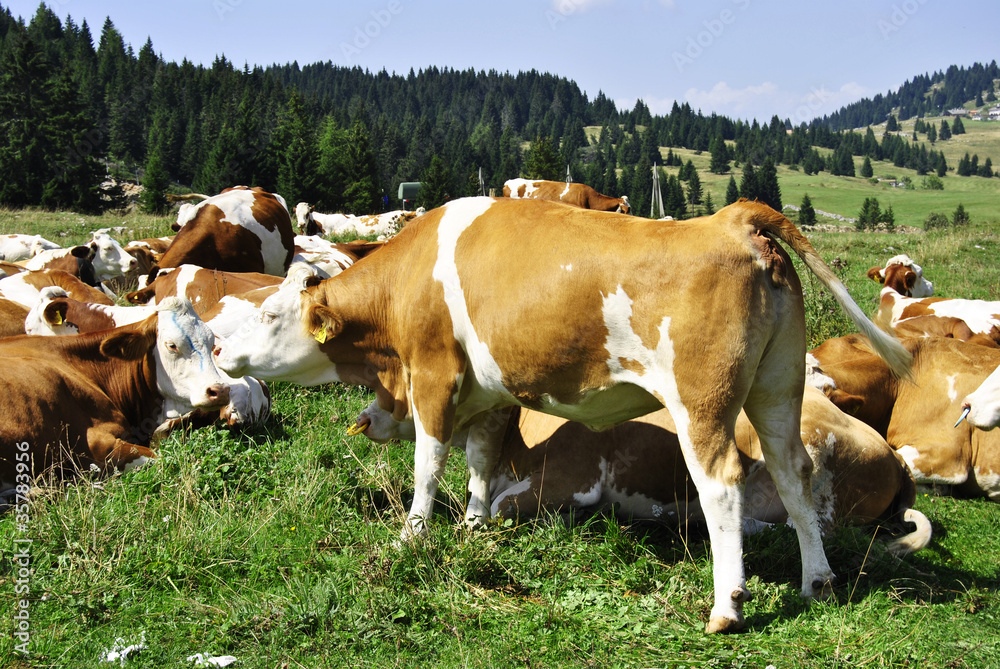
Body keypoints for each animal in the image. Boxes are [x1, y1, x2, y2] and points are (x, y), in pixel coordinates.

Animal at [352, 386, 930, 556]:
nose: (363, 417)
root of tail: (890, 450)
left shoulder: (574, 479)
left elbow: (496, 509)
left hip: (803, 445)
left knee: (809, 526)